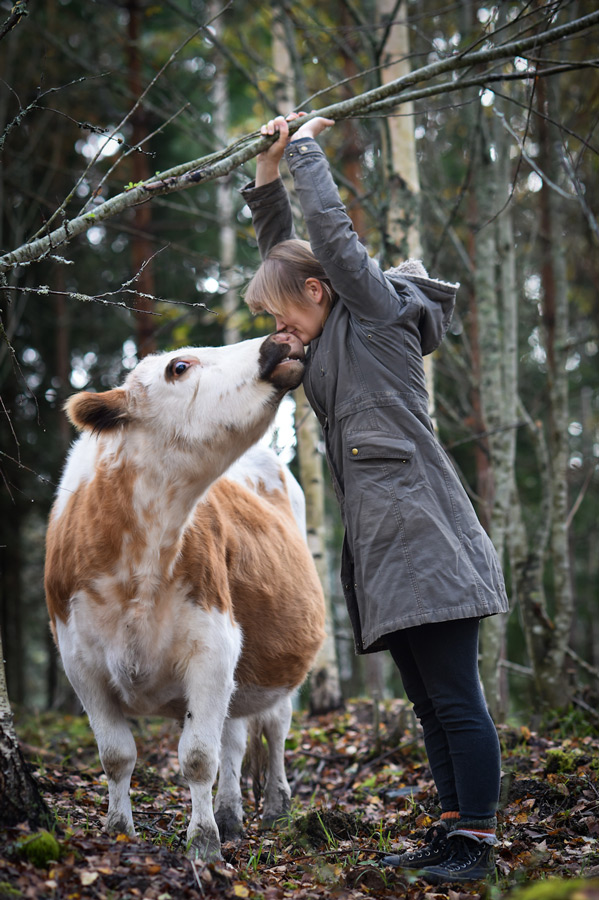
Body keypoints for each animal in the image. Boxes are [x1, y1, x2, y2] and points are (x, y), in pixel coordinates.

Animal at [44, 332, 326, 860]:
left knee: (274, 727)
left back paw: (275, 806)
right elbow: (116, 756)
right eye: (179, 367)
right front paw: (119, 829)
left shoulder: (213, 648)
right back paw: (231, 814)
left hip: (273, 666)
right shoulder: (79, 662)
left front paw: (204, 844)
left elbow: (197, 757)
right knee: (235, 739)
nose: (278, 340)